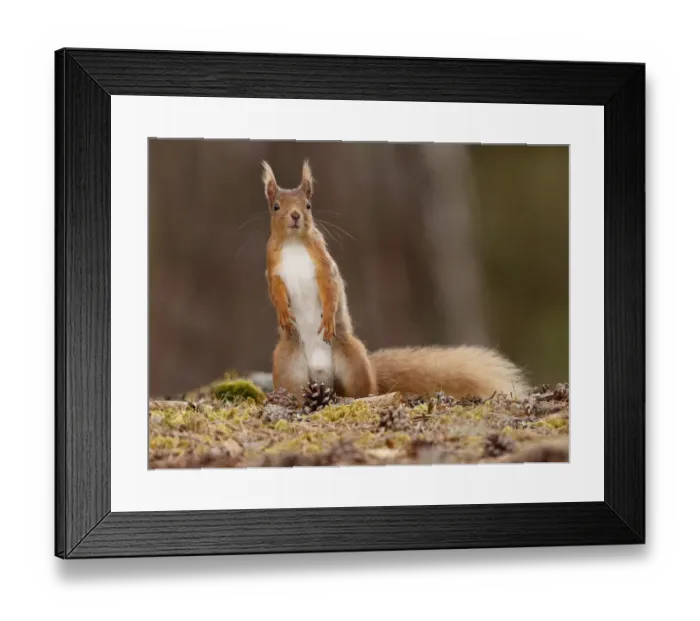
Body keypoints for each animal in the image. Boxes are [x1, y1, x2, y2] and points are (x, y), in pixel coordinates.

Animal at [262, 160, 529, 403]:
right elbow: (275, 292)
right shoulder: (273, 270)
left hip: (354, 361)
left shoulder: (325, 266)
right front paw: (283, 312)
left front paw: (327, 317)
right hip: (286, 366)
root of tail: (322, 378)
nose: (295, 216)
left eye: (308, 205)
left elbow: (331, 289)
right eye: (275, 206)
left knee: (364, 390)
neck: (294, 244)